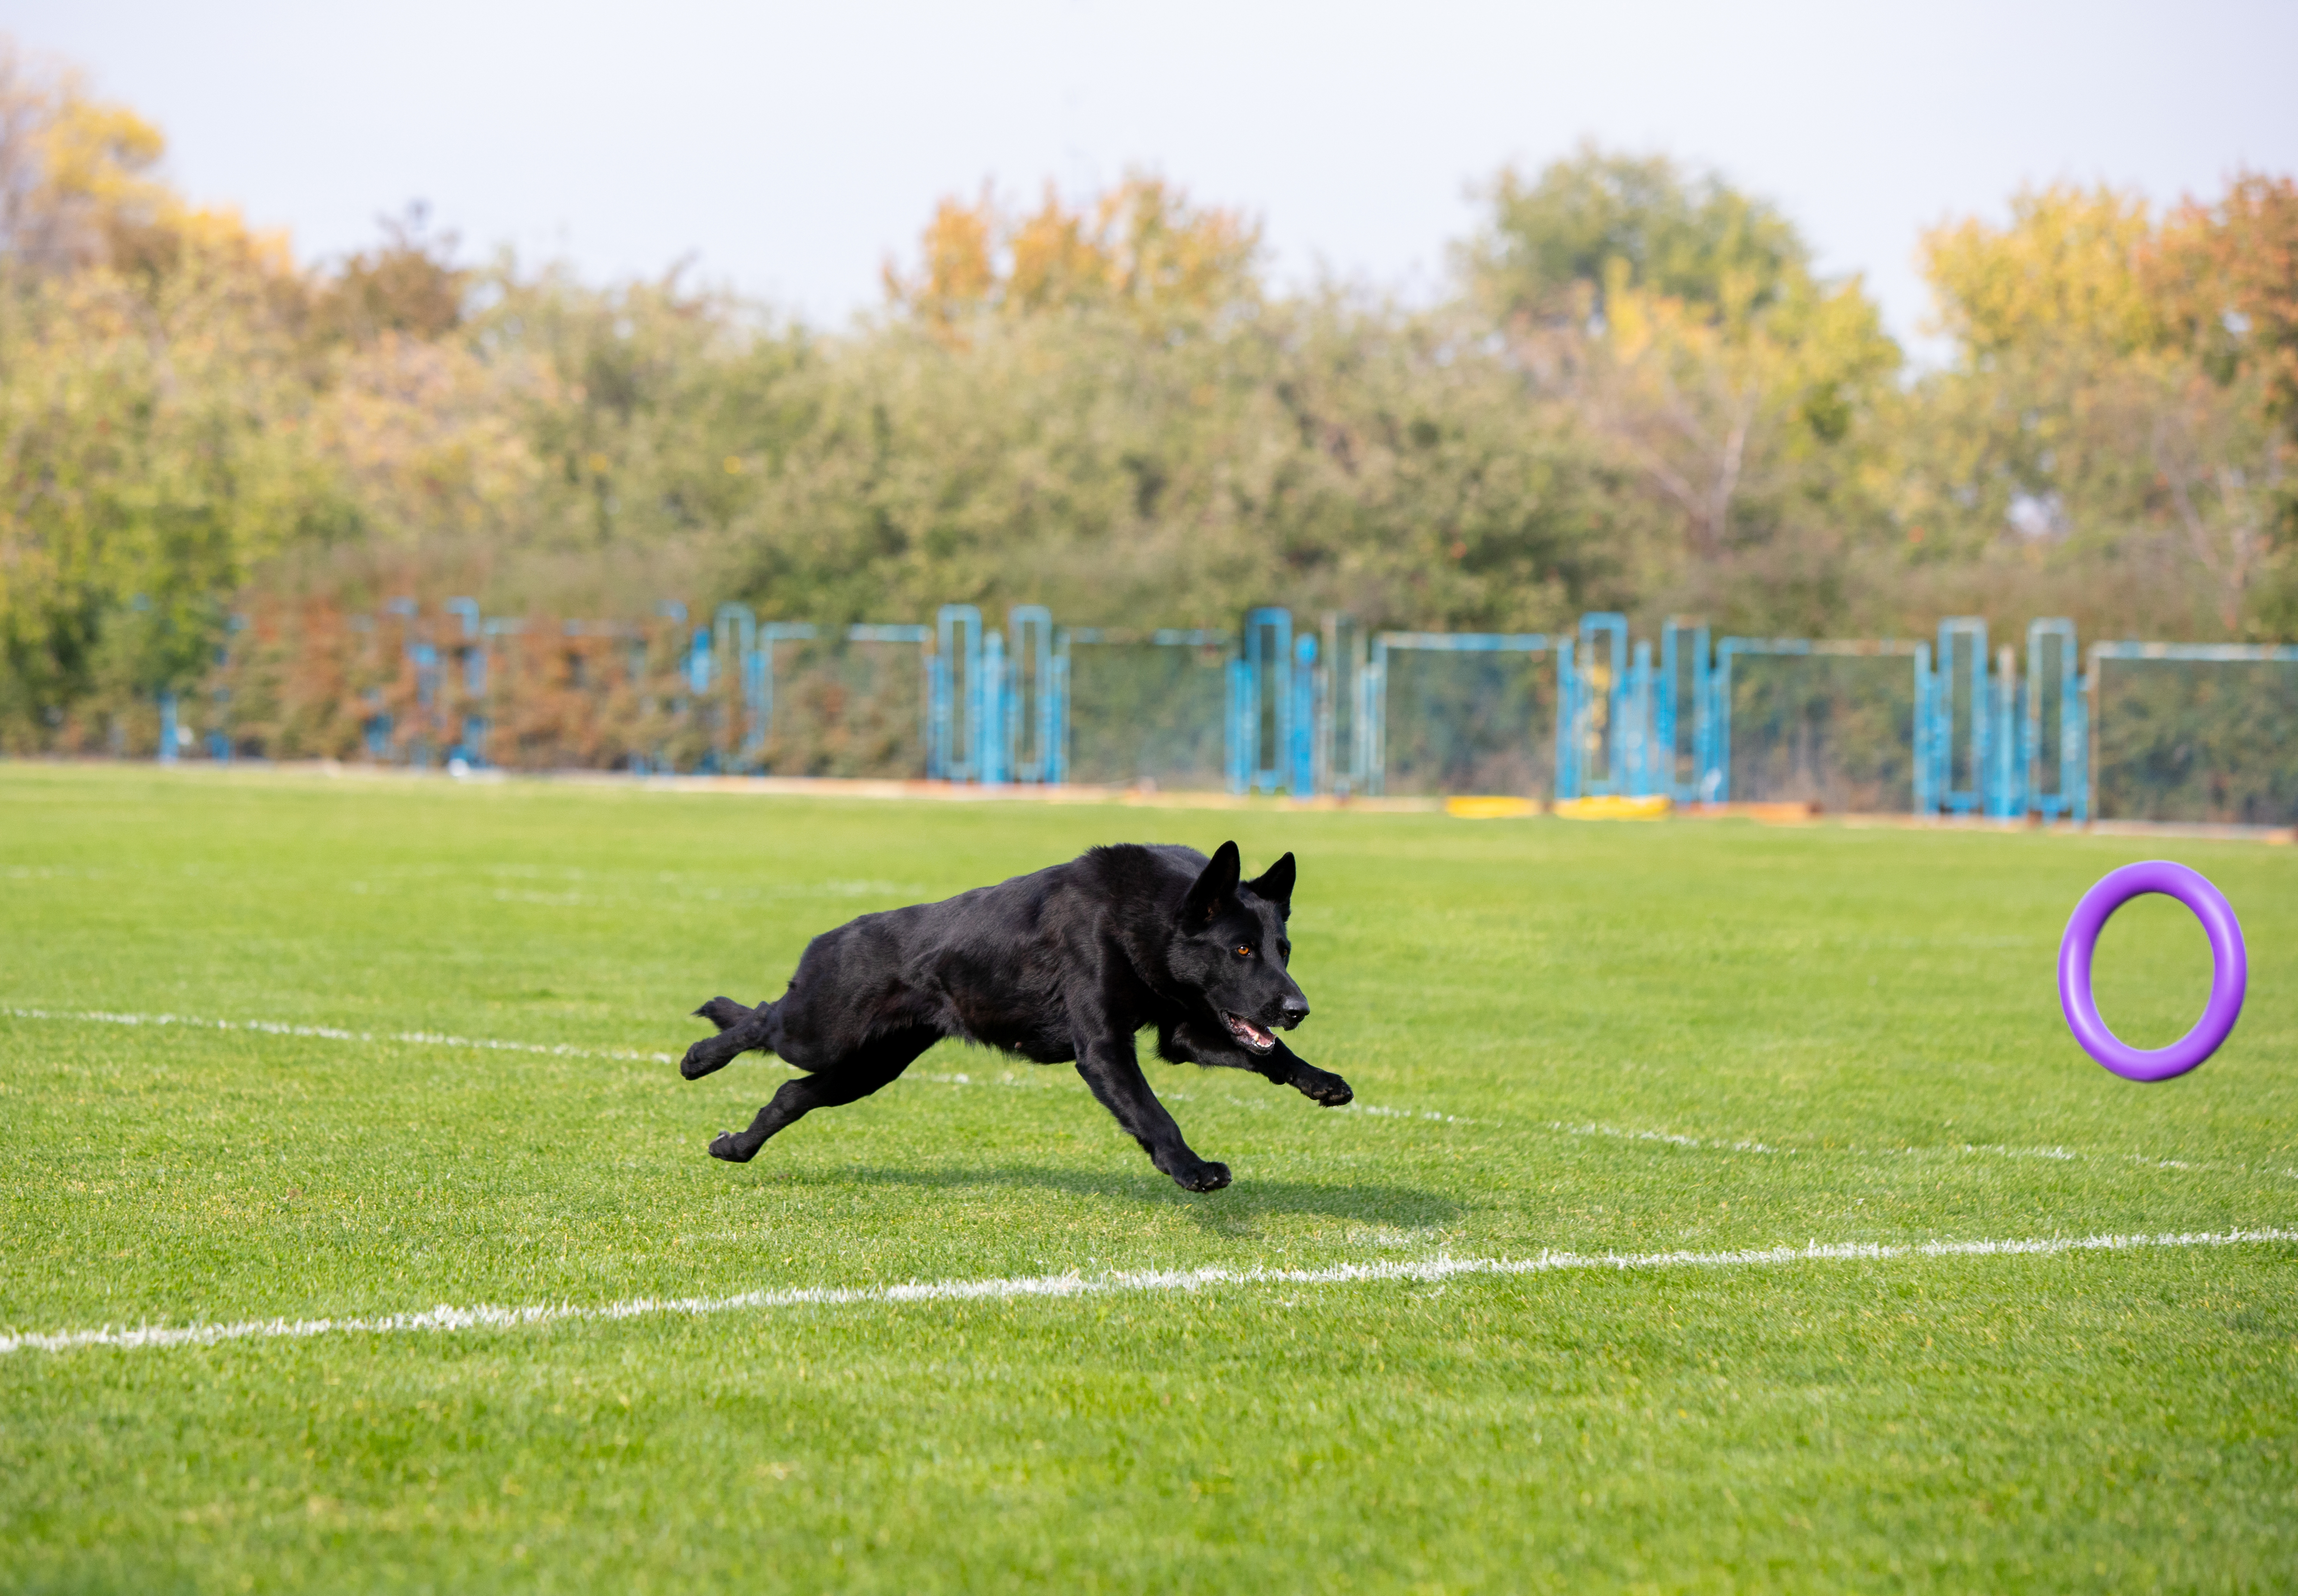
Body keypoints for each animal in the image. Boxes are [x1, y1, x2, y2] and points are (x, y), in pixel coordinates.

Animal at [671, 845, 1342, 1194]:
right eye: (1242, 950)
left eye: (1283, 950)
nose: (1297, 1010)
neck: (1146, 918)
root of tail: (833, 936)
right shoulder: (1104, 1050)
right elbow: (1157, 1117)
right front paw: (1191, 1169)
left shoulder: (1181, 1034)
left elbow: (1270, 1056)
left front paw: (1320, 1080)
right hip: (820, 1034)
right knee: (762, 1021)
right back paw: (699, 1057)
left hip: (867, 1069)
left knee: (790, 1094)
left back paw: (734, 1147)